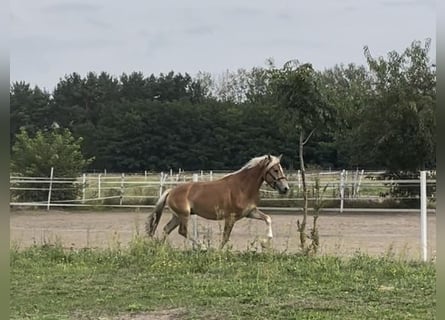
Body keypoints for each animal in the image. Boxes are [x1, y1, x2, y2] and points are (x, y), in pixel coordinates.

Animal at [145, 154, 288, 249]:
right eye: (275, 170)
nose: (285, 188)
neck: (242, 187)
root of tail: (171, 191)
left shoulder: (250, 212)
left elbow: (268, 218)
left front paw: (265, 242)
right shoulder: (230, 218)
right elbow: (225, 237)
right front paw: (218, 252)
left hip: (177, 216)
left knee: (166, 229)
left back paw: (161, 248)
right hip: (184, 215)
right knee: (182, 231)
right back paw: (203, 247)